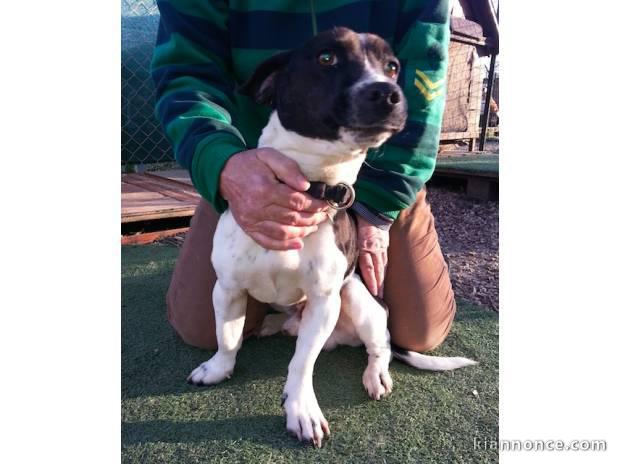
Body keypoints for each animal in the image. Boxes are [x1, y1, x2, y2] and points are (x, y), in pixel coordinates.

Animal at [186, 27, 478, 448]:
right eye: (327, 58)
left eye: (392, 66)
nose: (389, 92)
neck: (314, 181)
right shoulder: (227, 288)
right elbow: (226, 337)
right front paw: (218, 368)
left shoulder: (325, 300)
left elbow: (301, 363)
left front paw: (301, 410)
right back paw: (272, 325)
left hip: (356, 295)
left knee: (380, 346)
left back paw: (375, 375)